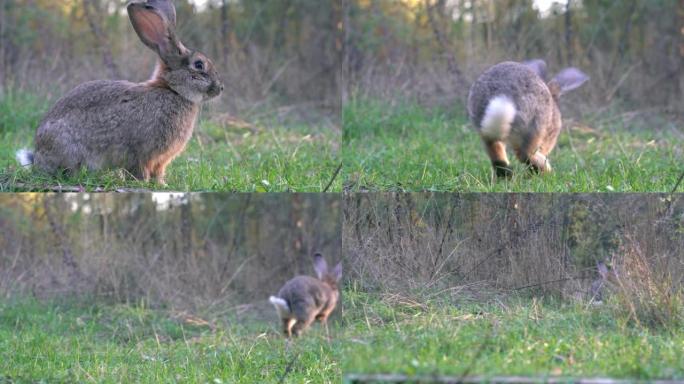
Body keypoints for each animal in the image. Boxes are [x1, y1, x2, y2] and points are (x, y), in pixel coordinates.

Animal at [14, 0, 222, 186]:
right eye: (199, 65)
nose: (220, 88)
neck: (173, 90)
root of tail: (38, 158)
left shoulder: (160, 161)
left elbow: (158, 172)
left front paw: (161, 184)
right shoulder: (142, 153)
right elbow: (140, 169)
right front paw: (144, 183)